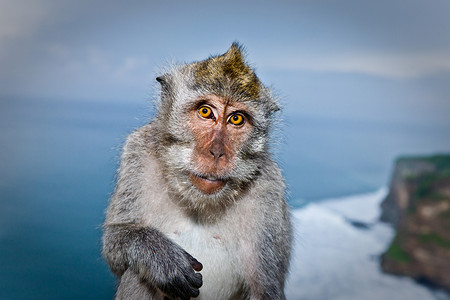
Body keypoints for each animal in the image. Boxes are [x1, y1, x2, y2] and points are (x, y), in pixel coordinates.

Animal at [102, 42, 292, 300]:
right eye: (205, 112)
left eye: (236, 119)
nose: (216, 153)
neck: (199, 203)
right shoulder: (138, 154)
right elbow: (115, 242)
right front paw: (161, 258)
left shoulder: (268, 187)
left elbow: (265, 290)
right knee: (137, 275)